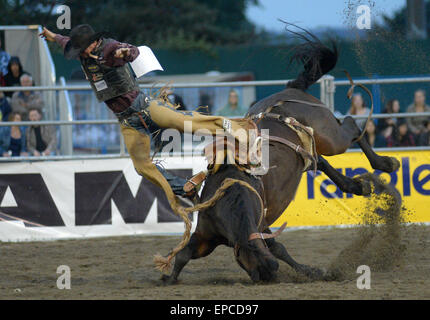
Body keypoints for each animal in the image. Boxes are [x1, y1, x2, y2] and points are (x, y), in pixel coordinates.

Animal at [159, 25, 400, 284]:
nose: (267, 279)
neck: (230, 192)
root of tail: (291, 88)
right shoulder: (205, 236)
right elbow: (184, 254)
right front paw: (168, 278)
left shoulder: (260, 222)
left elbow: (277, 248)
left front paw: (314, 272)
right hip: (306, 151)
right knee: (322, 161)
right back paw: (358, 185)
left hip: (330, 136)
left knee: (351, 126)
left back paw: (386, 163)